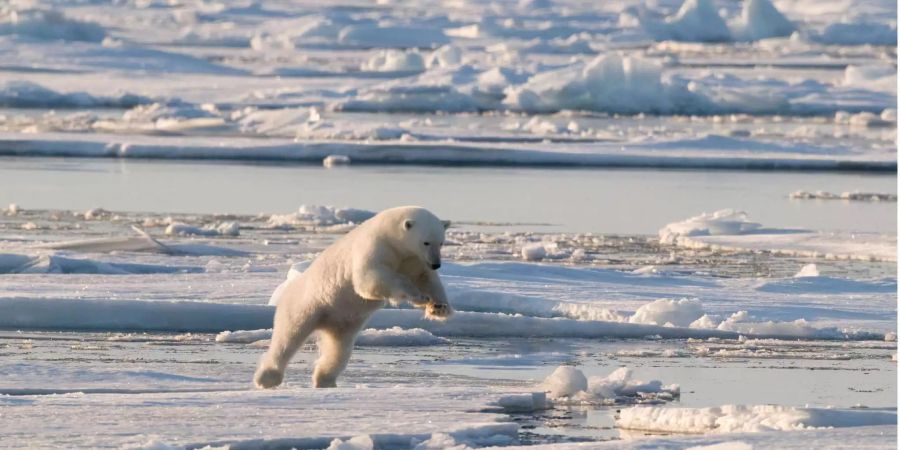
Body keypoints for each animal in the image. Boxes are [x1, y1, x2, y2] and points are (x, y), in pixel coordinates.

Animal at [253, 206, 450, 388]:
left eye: (441, 242)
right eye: (426, 242)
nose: (436, 264)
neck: (392, 237)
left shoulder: (414, 260)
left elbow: (428, 280)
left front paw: (439, 308)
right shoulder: (377, 247)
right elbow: (370, 279)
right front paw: (418, 296)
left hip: (344, 323)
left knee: (339, 350)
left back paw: (325, 380)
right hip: (307, 304)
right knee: (288, 337)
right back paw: (267, 378)